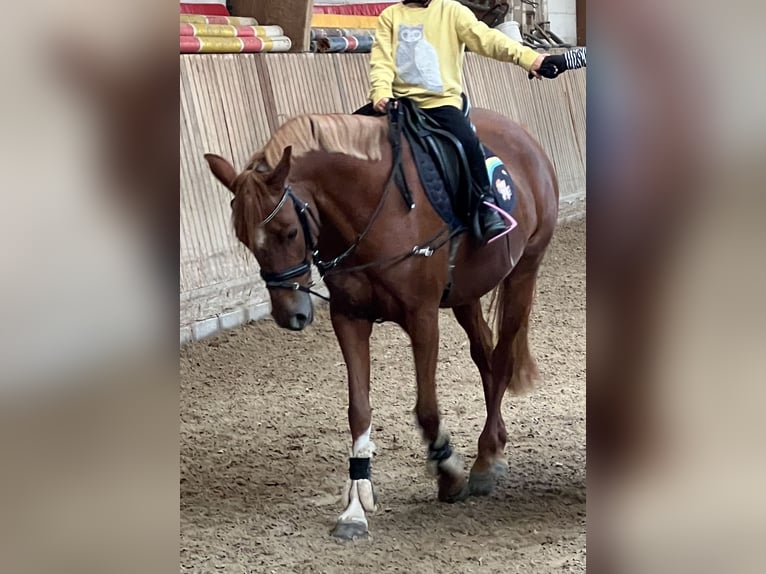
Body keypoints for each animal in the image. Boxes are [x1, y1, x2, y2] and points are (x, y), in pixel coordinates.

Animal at [207, 107, 560, 540]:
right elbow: (358, 410)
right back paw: (494, 444)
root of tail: (521, 135)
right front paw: (355, 507)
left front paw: (448, 472)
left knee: (504, 357)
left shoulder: (422, 317)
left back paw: (487, 460)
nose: (291, 315)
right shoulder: (350, 318)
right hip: (466, 293)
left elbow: (427, 409)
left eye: (288, 232)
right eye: (244, 239)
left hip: (523, 271)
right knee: (485, 357)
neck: (372, 209)